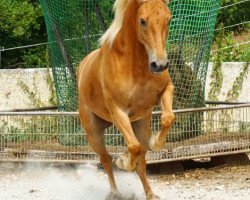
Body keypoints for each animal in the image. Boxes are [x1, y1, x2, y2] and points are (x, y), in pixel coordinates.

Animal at [77, 0, 174, 199]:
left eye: (169, 19)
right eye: (142, 21)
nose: (159, 65)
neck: (135, 64)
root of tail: (82, 65)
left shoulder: (166, 90)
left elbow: (168, 119)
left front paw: (155, 143)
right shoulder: (118, 111)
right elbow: (133, 148)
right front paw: (123, 161)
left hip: (141, 123)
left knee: (142, 161)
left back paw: (150, 194)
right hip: (94, 133)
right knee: (106, 160)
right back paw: (115, 192)